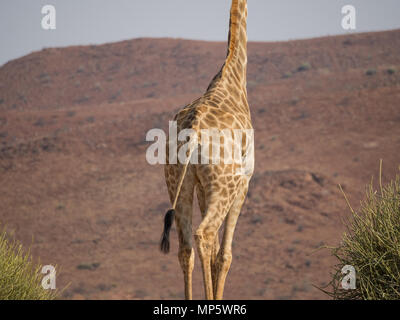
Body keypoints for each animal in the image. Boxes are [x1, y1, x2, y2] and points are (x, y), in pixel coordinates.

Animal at [159, 0, 253, 300]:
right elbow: (224, 255)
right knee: (205, 235)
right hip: (225, 184)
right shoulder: (244, 181)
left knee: (185, 247)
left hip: (178, 181)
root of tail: (193, 134)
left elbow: (212, 256)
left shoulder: (202, 186)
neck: (233, 77)